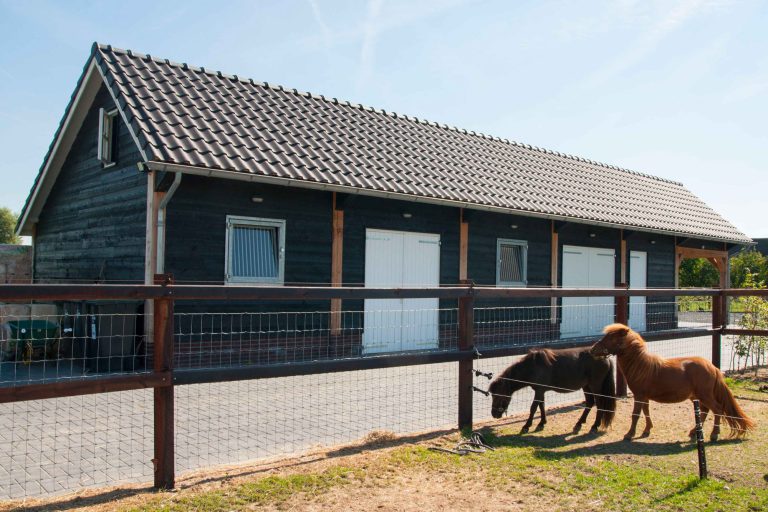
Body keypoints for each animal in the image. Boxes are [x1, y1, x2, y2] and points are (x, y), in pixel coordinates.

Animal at [592, 324, 752, 440]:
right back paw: (694, 432)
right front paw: (646, 430)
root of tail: (713, 367)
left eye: (611, 338)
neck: (641, 366)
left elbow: (636, 414)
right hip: (697, 396)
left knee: (717, 410)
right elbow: (646, 412)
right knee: (705, 411)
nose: (593, 349)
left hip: (705, 395)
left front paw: (629, 434)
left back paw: (714, 434)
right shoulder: (644, 397)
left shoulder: (639, 396)